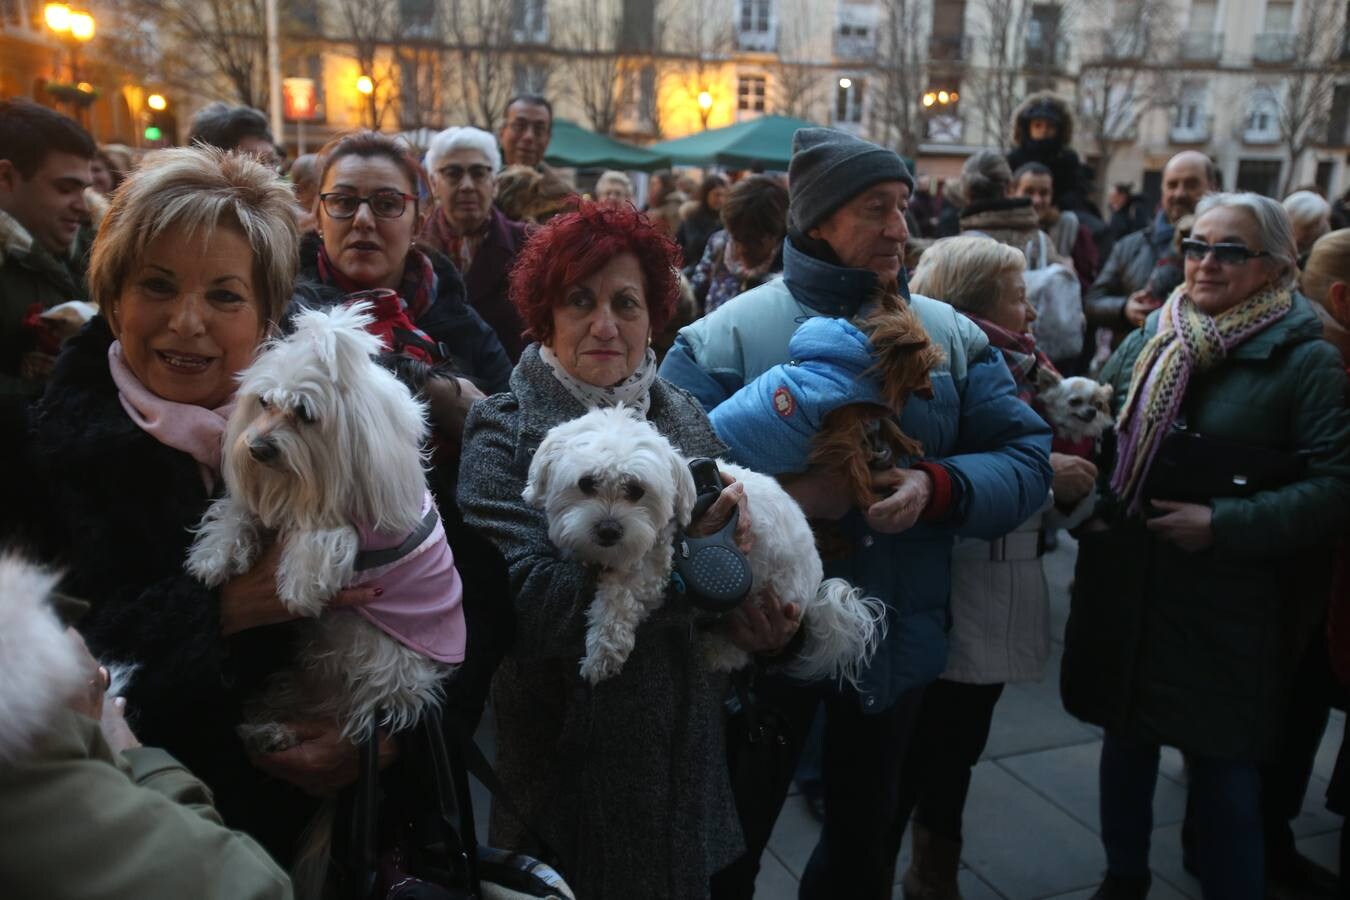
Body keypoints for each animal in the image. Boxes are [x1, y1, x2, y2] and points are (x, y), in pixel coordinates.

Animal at [184, 302, 461, 755]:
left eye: (304, 414)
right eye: (263, 402)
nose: (257, 448)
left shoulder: (374, 523)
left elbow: (332, 530)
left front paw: (299, 585)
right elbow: (240, 511)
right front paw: (213, 556)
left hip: (387, 674)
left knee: (348, 718)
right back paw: (267, 732)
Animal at [523, 410, 885, 690]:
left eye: (636, 490)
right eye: (586, 483)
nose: (609, 530)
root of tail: (816, 578)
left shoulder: (654, 561)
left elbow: (619, 599)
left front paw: (602, 654)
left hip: (765, 596)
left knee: (741, 649)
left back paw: (716, 651)